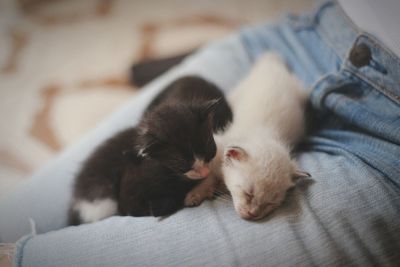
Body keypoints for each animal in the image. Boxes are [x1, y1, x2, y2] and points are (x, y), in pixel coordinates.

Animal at [184, 51, 310, 220]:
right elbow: (208, 177)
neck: (263, 135)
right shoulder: (216, 154)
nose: (253, 214)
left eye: (270, 203)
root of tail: (271, 65)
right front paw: (194, 195)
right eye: (248, 194)